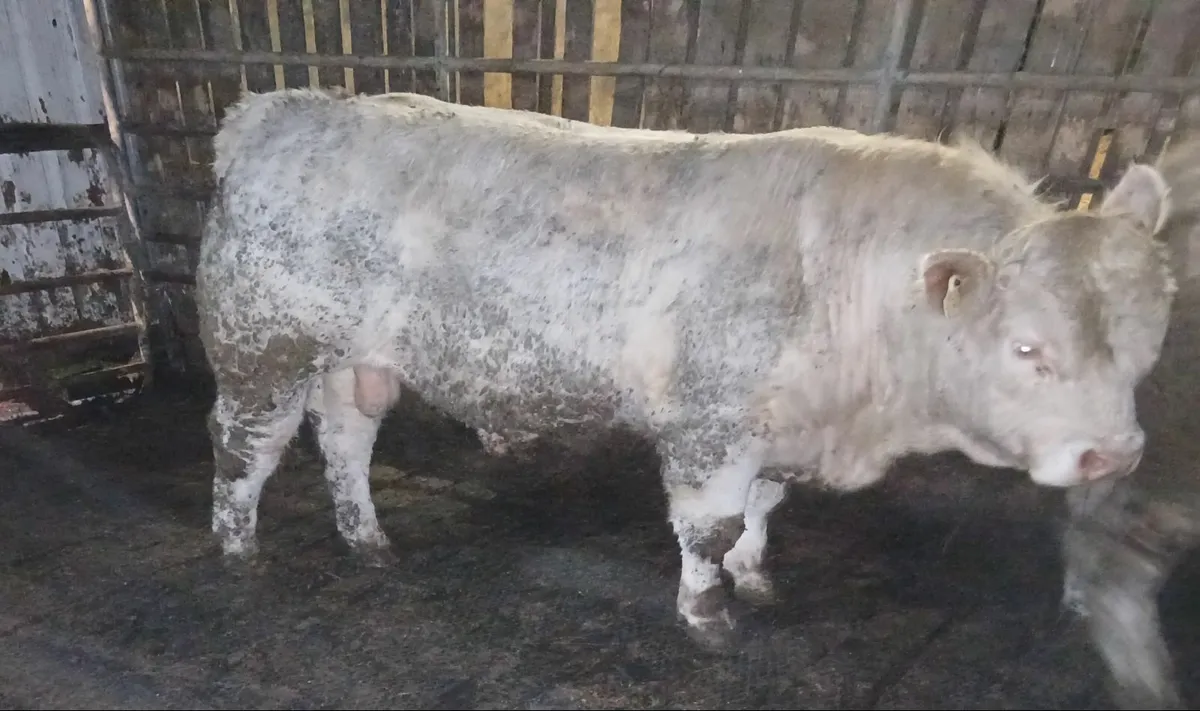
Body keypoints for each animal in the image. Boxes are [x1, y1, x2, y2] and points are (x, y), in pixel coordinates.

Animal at [196, 87, 1188, 652]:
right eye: (1028, 347)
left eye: (1148, 339)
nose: (1114, 454)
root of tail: (273, 109)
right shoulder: (711, 424)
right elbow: (708, 527)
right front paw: (708, 612)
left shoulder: (779, 426)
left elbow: (764, 510)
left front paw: (755, 575)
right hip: (261, 345)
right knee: (246, 447)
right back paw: (238, 549)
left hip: (353, 358)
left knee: (347, 442)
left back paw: (367, 538)